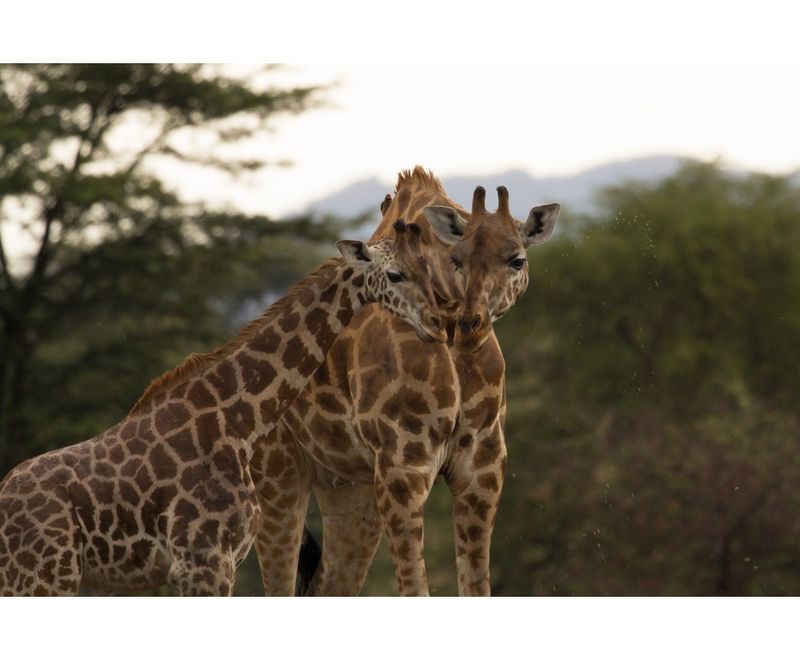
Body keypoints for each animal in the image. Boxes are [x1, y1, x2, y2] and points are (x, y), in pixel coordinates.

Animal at [0, 222, 444, 596]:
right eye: (395, 275)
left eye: (428, 269)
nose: (437, 324)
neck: (240, 423)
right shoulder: (202, 560)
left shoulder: (216, 561)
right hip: (44, 574)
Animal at [252, 167, 559, 596]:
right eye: (456, 259)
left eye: (517, 259)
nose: (472, 323)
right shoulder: (402, 464)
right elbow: (415, 588)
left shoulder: (482, 465)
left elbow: (475, 585)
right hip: (277, 477)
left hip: (348, 486)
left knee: (328, 583)